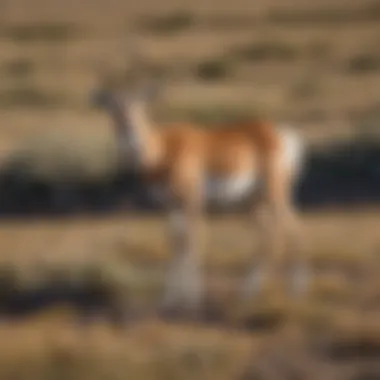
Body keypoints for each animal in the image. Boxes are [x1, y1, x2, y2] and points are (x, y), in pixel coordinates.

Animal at [92, 50, 308, 314]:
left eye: (139, 105)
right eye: (113, 108)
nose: (128, 130)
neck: (163, 150)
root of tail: (279, 133)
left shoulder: (192, 200)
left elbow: (192, 239)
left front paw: (191, 301)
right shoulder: (170, 205)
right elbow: (175, 242)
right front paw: (169, 300)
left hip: (275, 193)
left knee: (292, 228)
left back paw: (295, 293)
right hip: (251, 201)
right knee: (269, 234)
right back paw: (247, 294)